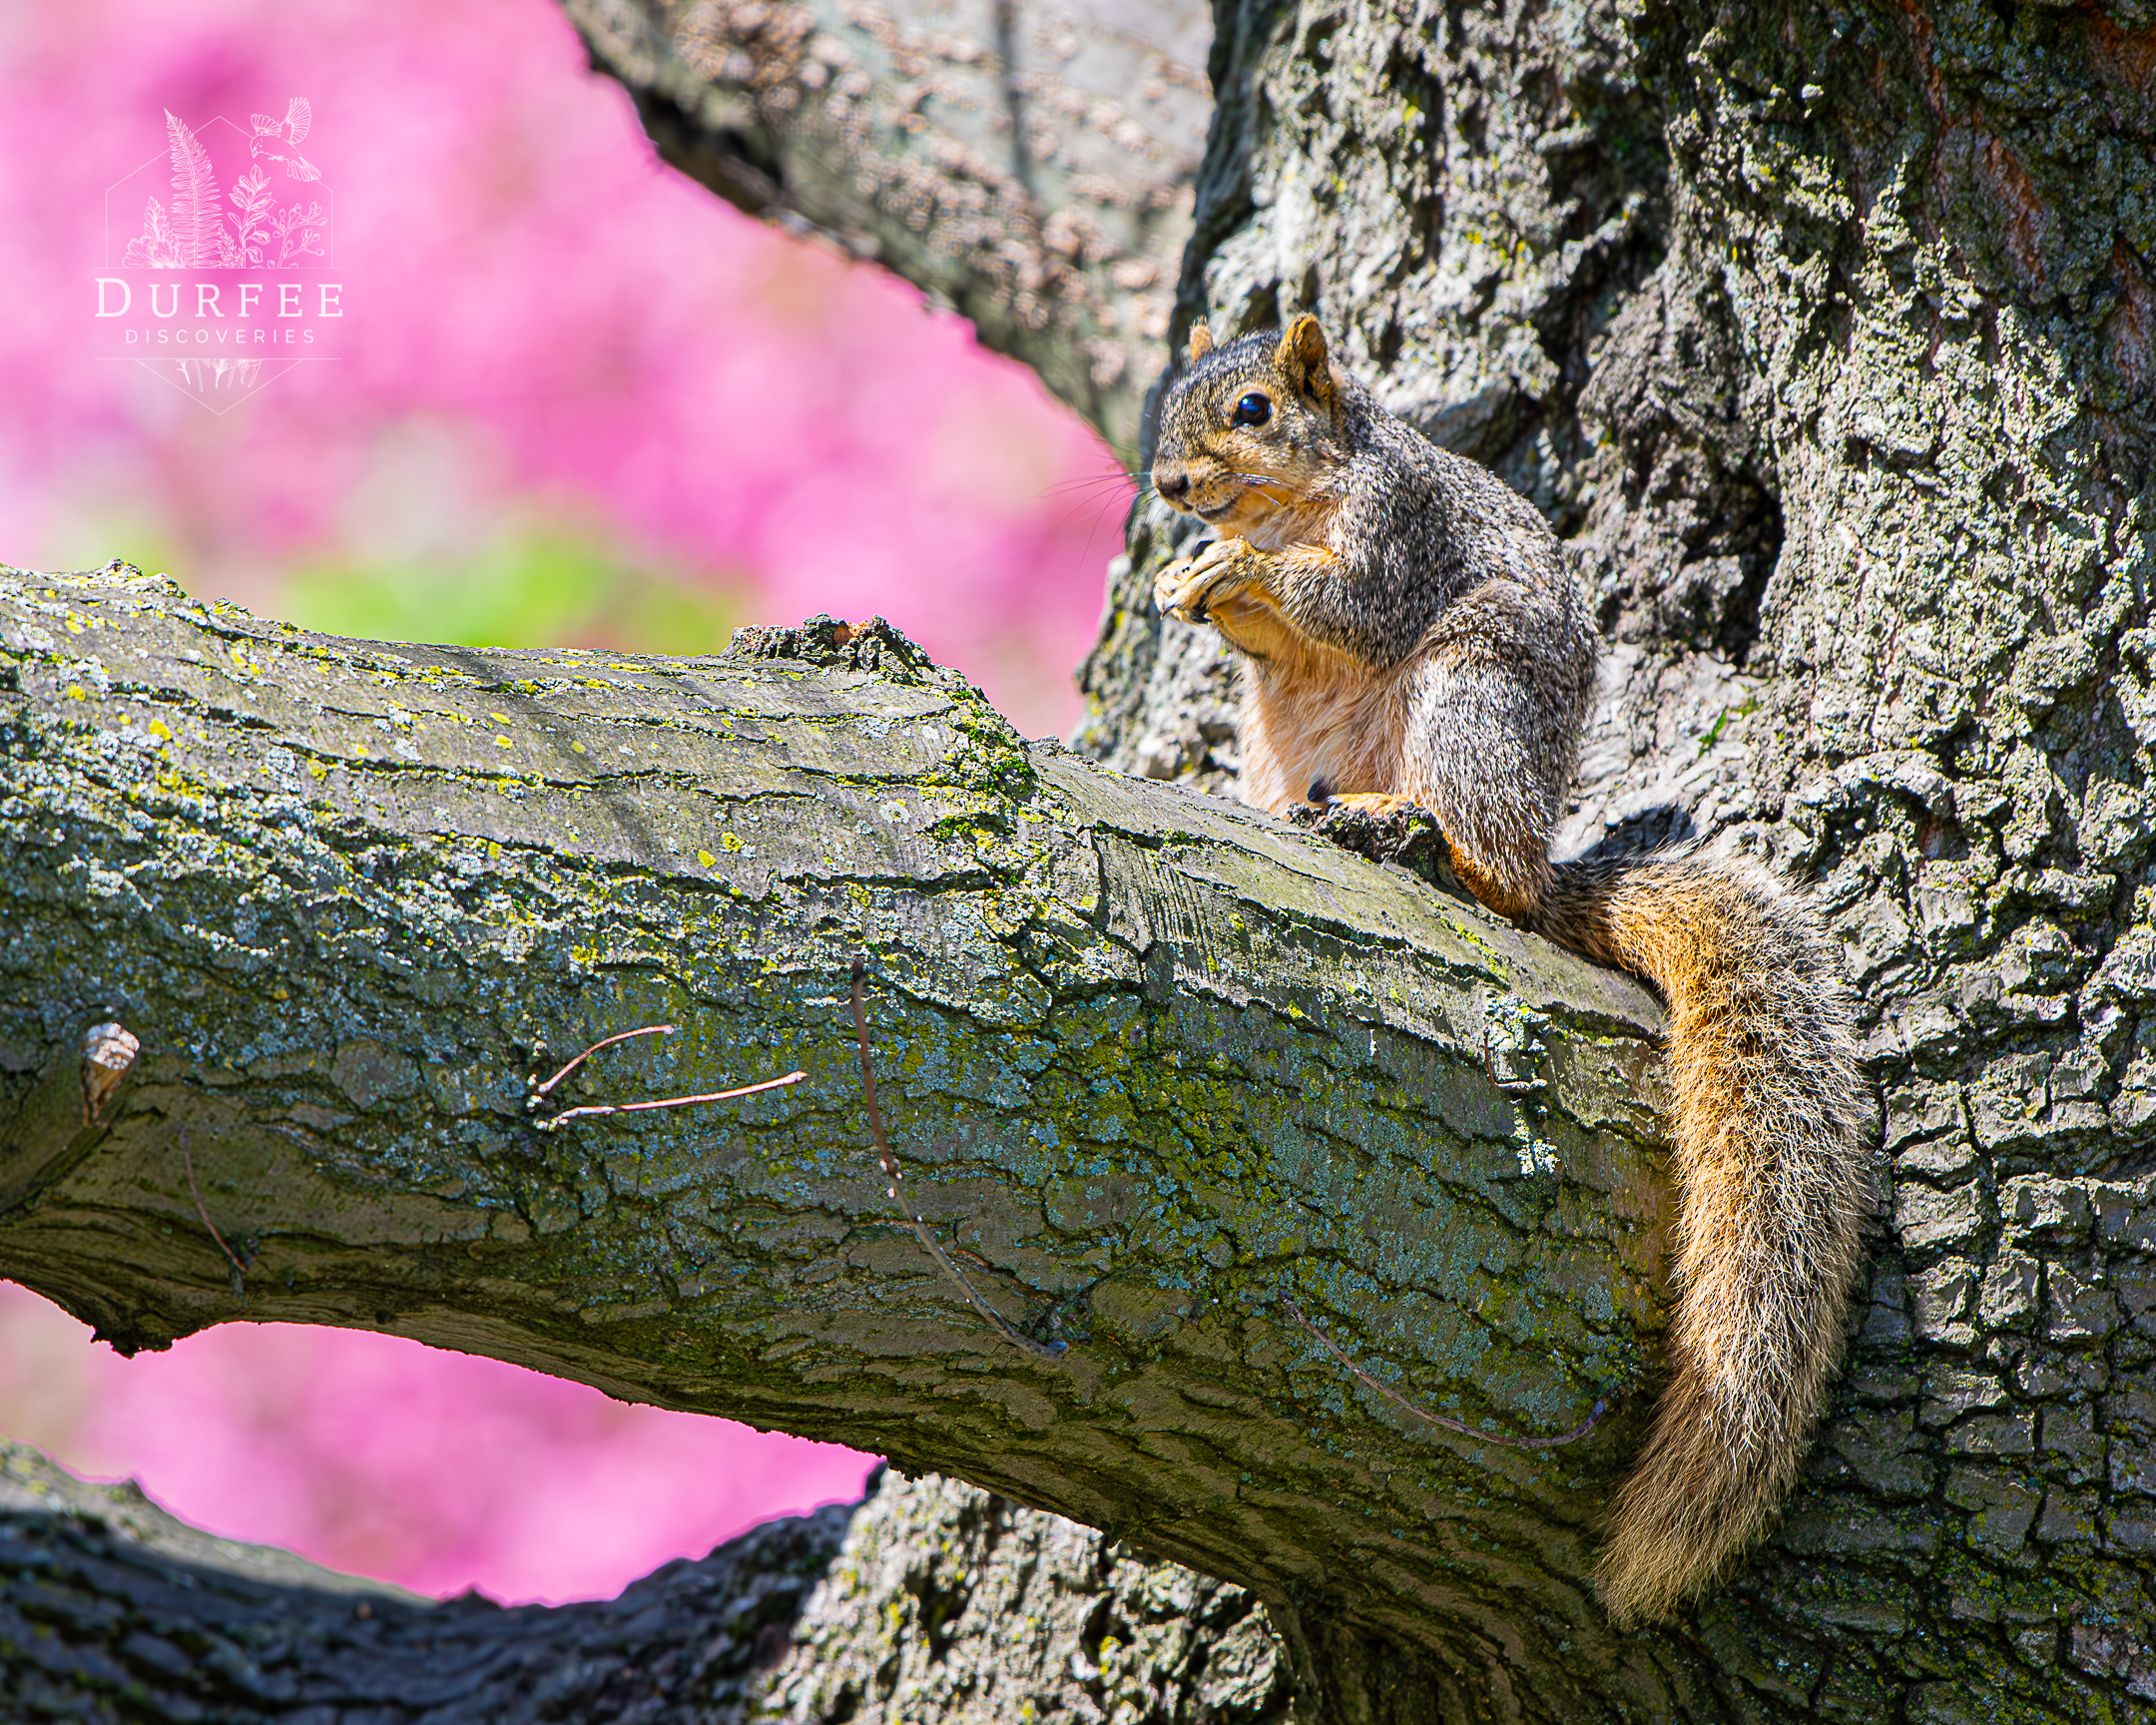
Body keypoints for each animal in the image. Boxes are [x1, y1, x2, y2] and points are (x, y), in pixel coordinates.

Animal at [1148, 313, 1870, 1626]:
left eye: (1253, 410)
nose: (1172, 490)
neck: (1294, 499)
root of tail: (1542, 859)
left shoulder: (1400, 532)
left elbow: (1351, 605)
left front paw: (1237, 575)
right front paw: (1192, 578)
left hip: (1470, 694)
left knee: (1487, 866)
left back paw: (1415, 836)